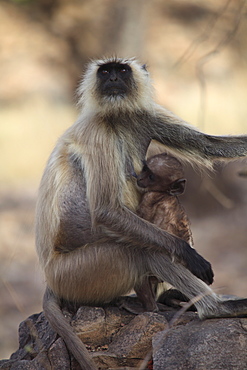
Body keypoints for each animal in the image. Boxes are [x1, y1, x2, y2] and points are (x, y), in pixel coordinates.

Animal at [35, 56, 247, 368]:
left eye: (121, 70)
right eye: (105, 71)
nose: (112, 79)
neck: (116, 116)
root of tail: (51, 279)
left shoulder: (144, 114)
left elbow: (210, 145)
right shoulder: (98, 131)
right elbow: (106, 210)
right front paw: (188, 253)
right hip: (80, 273)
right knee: (142, 251)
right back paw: (213, 308)